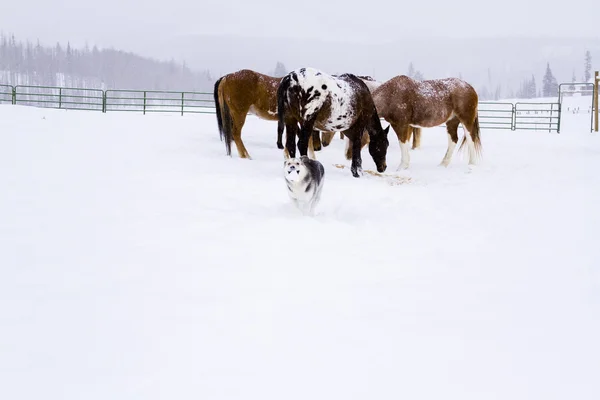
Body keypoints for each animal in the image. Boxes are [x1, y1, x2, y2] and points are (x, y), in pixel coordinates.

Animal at [344, 74, 480, 169]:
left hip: (466, 120)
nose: (347, 156)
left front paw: (402, 166)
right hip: (451, 121)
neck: (391, 95)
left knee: (471, 138)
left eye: (357, 137)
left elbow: (402, 143)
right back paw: (443, 164)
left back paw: (472, 164)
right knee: (453, 140)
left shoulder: (401, 125)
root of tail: (470, 87)